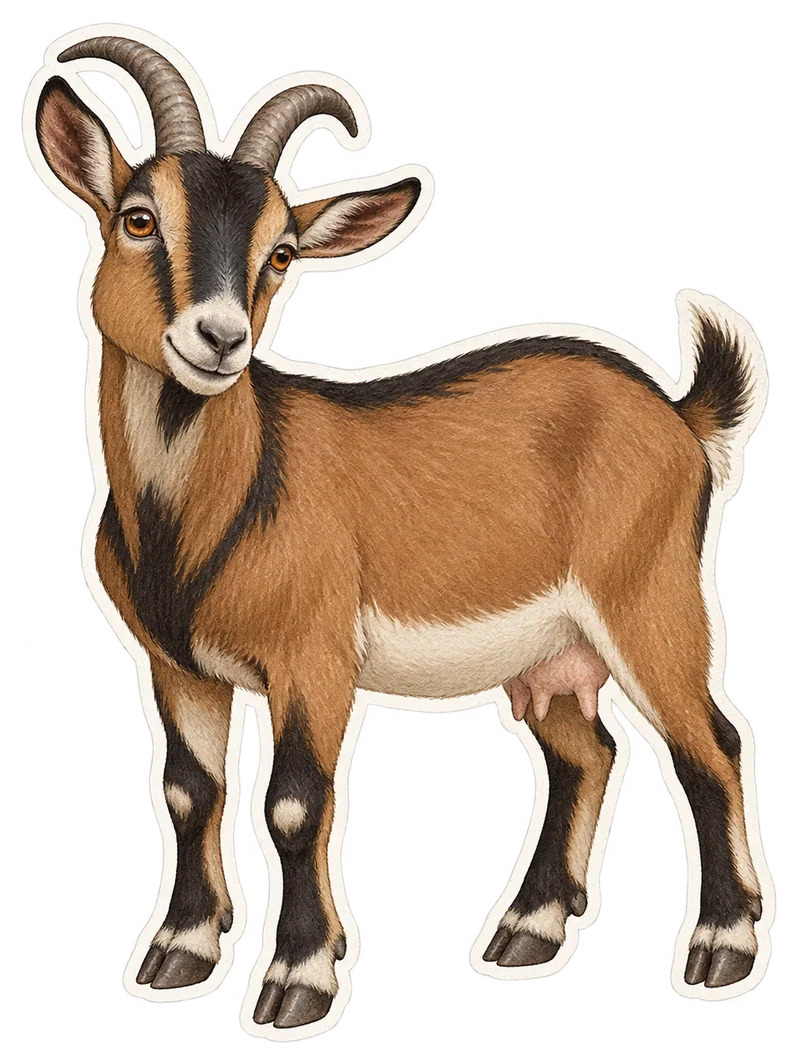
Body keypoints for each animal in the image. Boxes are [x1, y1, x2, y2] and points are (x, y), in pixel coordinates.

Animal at [27, 29, 772, 1033]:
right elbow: (188, 791)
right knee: (590, 752)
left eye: (279, 252)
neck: (209, 511)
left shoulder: (312, 658)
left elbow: (295, 802)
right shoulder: (175, 666)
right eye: (139, 219)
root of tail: (679, 413)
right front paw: (179, 953)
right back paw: (527, 931)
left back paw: (723, 947)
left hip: (649, 603)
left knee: (710, 743)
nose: (218, 339)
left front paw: (298, 979)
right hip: (551, 651)